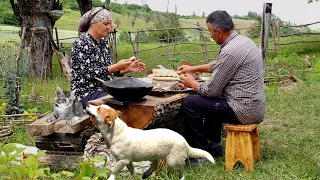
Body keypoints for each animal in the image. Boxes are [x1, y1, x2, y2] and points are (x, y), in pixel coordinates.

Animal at [86, 102, 214, 180]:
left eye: (98, 109)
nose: (87, 103)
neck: (115, 132)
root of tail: (186, 143)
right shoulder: (128, 161)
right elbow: (131, 170)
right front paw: (133, 177)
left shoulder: (121, 161)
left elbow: (114, 171)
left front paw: (111, 178)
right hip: (156, 156)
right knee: (154, 165)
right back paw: (146, 174)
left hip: (173, 161)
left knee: (181, 169)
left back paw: (181, 177)